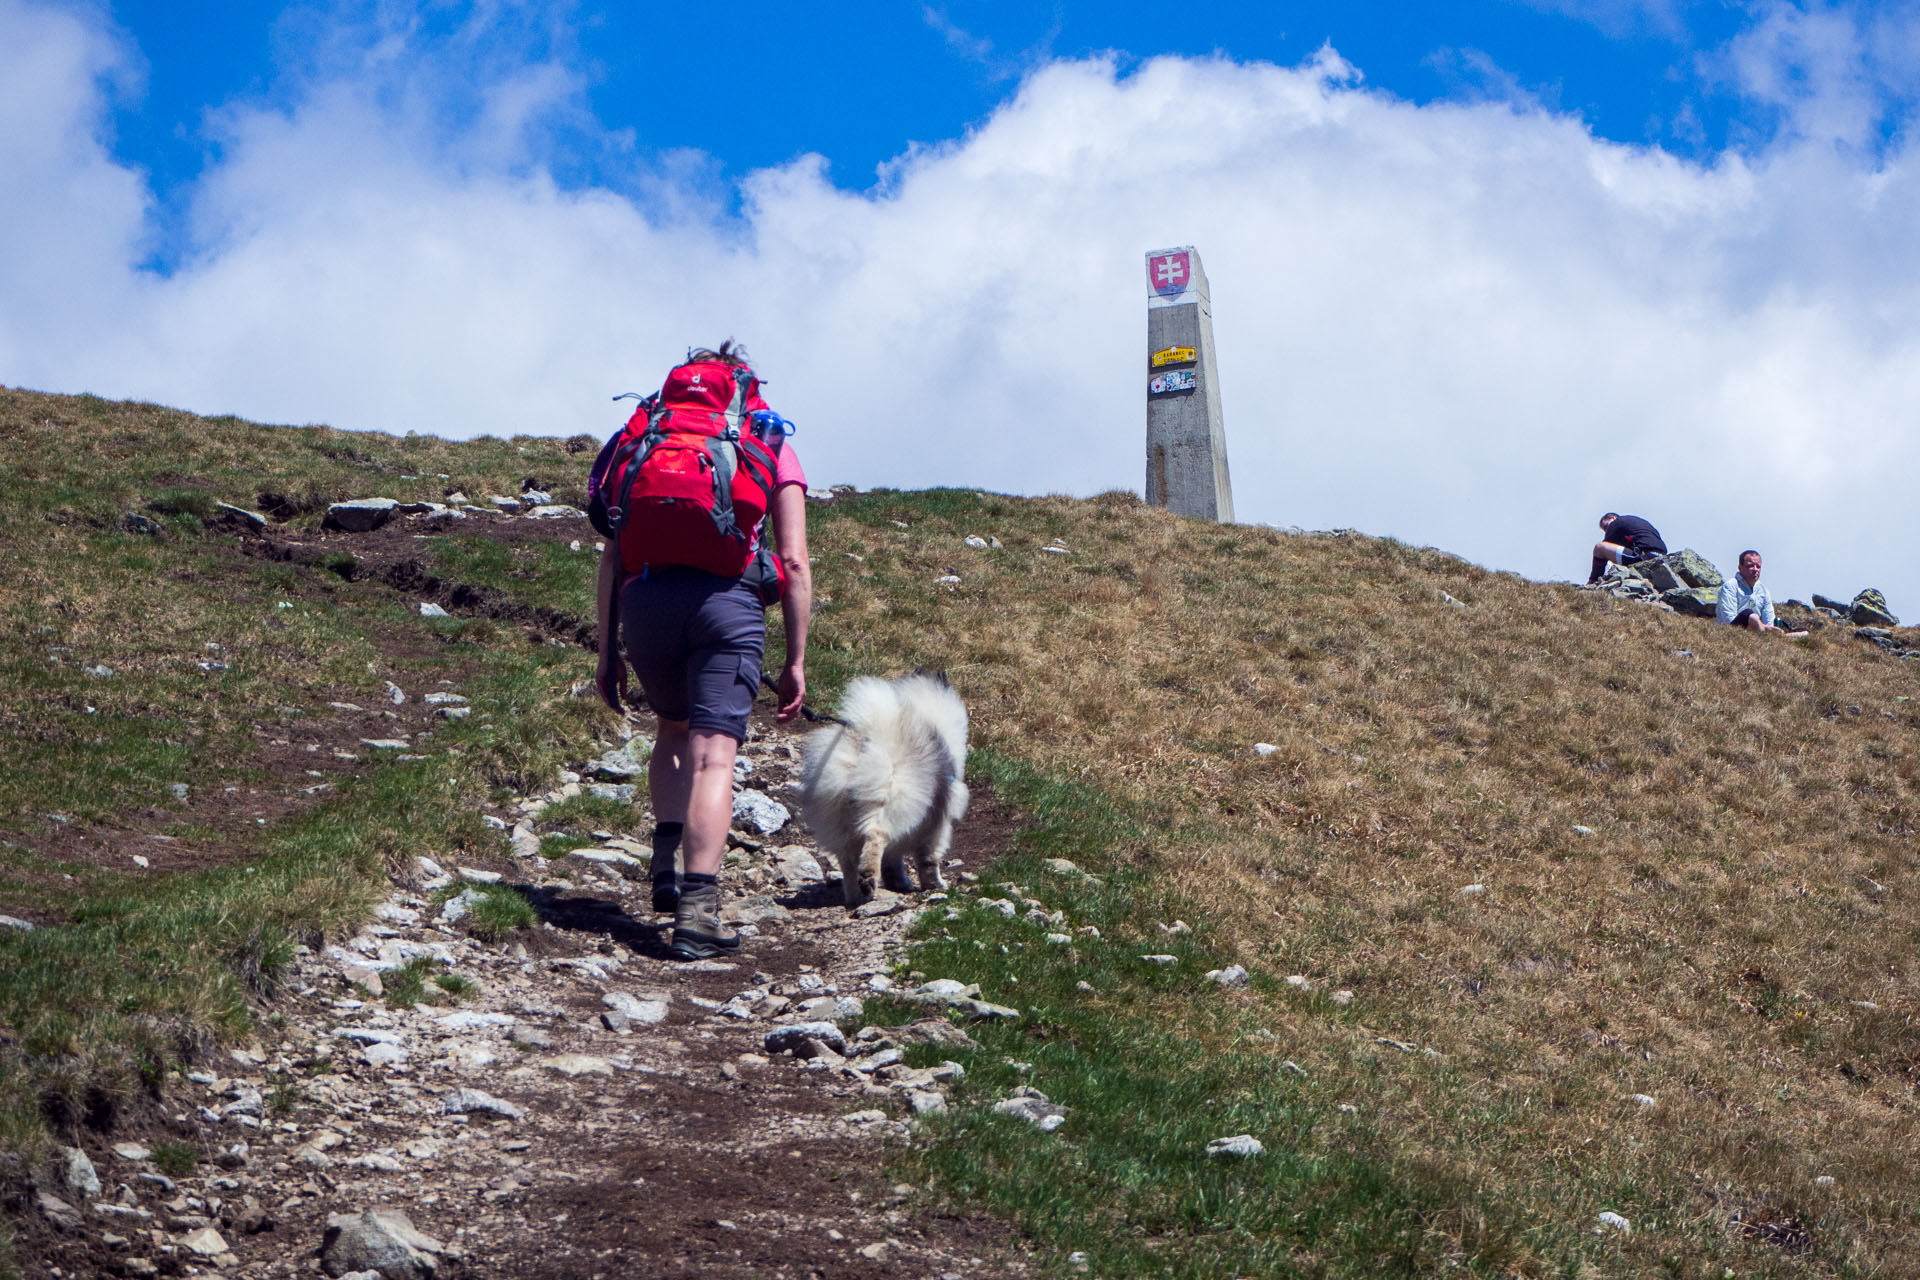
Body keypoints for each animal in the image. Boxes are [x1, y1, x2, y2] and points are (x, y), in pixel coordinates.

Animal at [798, 671, 967, 909]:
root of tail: (863, 740)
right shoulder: (938, 823)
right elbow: (929, 858)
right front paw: (935, 884)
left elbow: (893, 861)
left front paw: (899, 882)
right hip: (892, 800)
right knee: (875, 835)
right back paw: (868, 877)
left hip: (839, 818)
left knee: (848, 863)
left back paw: (856, 896)